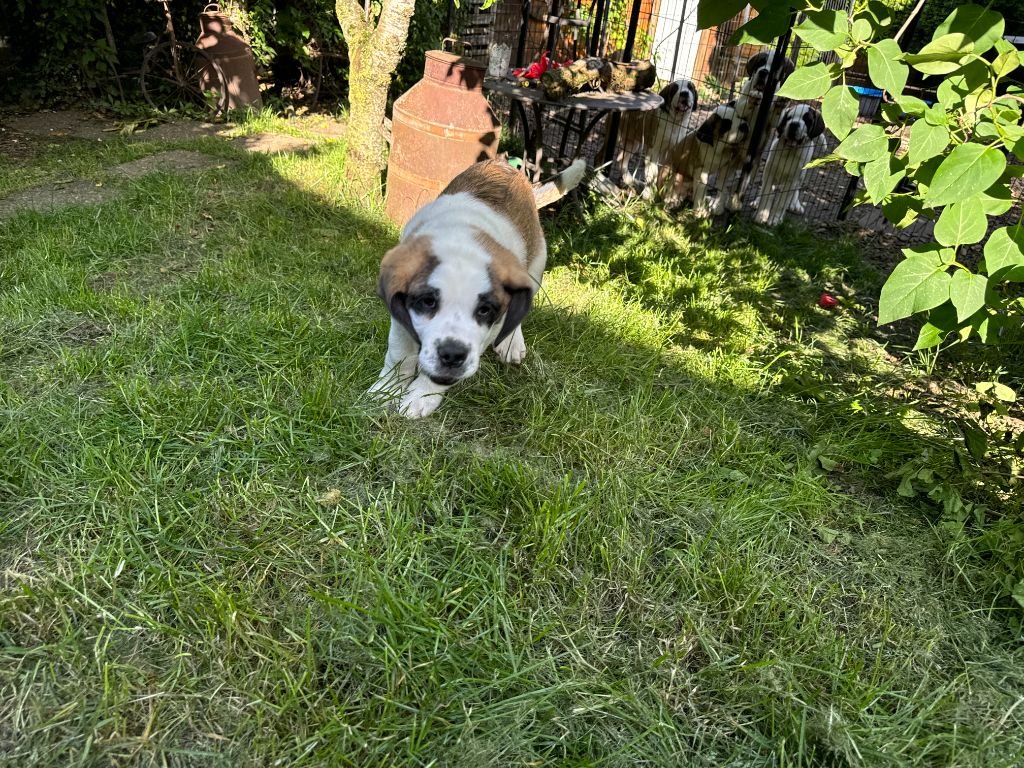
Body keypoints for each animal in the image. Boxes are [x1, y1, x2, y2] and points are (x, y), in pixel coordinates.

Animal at [370, 158, 585, 417]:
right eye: (428, 302)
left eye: (484, 310)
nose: (453, 354)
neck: (461, 245)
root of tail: (507, 165)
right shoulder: (401, 313)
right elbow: (399, 353)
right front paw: (387, 389)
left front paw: (421, 395)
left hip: (536, 263)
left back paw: (511, 343)